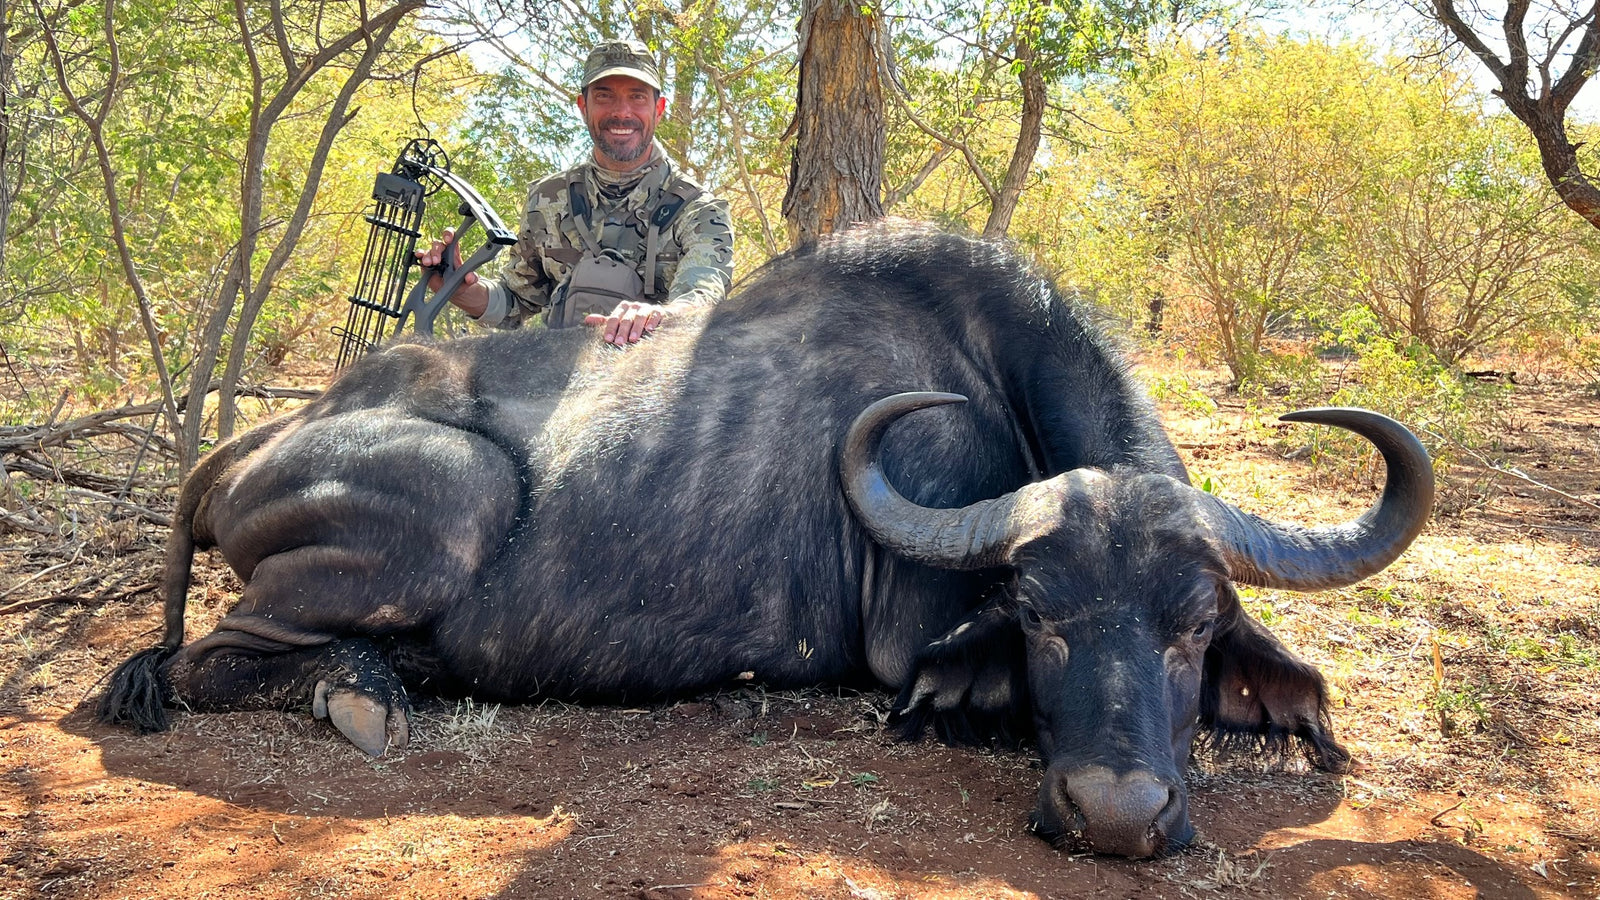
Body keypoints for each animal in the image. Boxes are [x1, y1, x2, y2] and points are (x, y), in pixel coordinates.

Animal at [100, 220, 1433, 851]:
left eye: (1195, 628)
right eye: (1039, 618)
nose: (1115, 814)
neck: (989, 385)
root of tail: (262, 439)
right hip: (452, 501)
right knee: (208, 659)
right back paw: (363, 695)